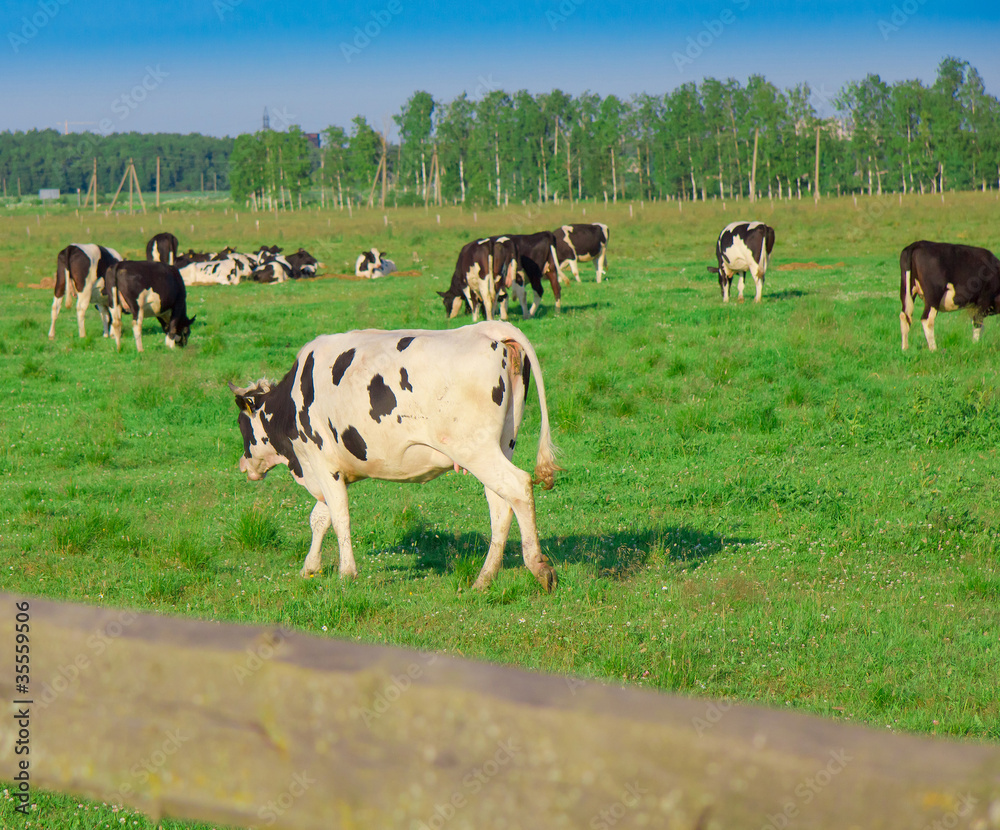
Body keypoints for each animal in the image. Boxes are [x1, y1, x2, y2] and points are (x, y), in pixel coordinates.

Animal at [232, 320, 564, 592]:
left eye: (241, 424)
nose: (243, 465)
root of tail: (487, 328)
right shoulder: (331, 469)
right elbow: (320, 518)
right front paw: (310, 567)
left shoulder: (322, 461)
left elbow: (338, 517)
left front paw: (346, 573)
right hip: (501, 445)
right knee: (500, 506)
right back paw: (484, 579)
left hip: (475, 449)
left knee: (518, 486)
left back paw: (538, 567)